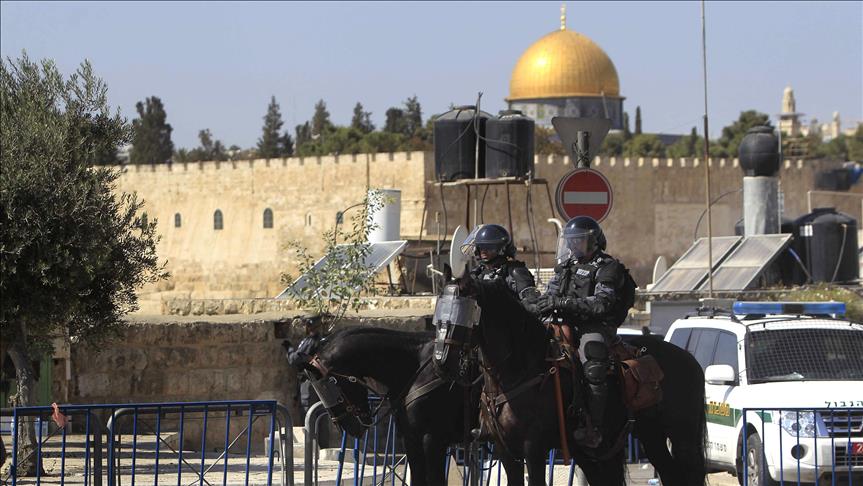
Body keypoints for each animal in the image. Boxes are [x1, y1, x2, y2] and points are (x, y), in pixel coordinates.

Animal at [448, 276, 704, 484]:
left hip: (683, 437)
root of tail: (689, 358)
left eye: (461, 312)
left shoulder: (534, 448)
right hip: (645, 436)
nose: (444, 361)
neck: (520, 370)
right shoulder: (506, 451)